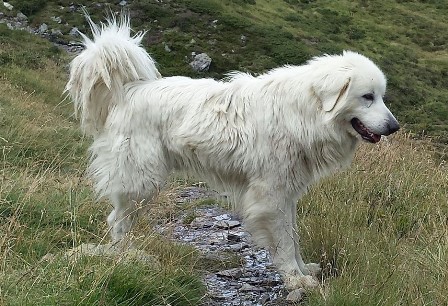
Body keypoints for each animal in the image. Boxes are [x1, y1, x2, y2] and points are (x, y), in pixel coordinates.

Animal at [66, 15, 400, 290]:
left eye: (380, 96)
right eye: (367, 97)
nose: (394, 126)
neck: (304, 112)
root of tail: (130, 90)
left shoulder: (287, 193)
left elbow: (293, 237)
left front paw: (304, 271)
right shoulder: (271, 195)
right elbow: (284, 242)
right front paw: (294, 279)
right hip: (141, 181)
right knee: (117, 220)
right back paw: (125, 257)